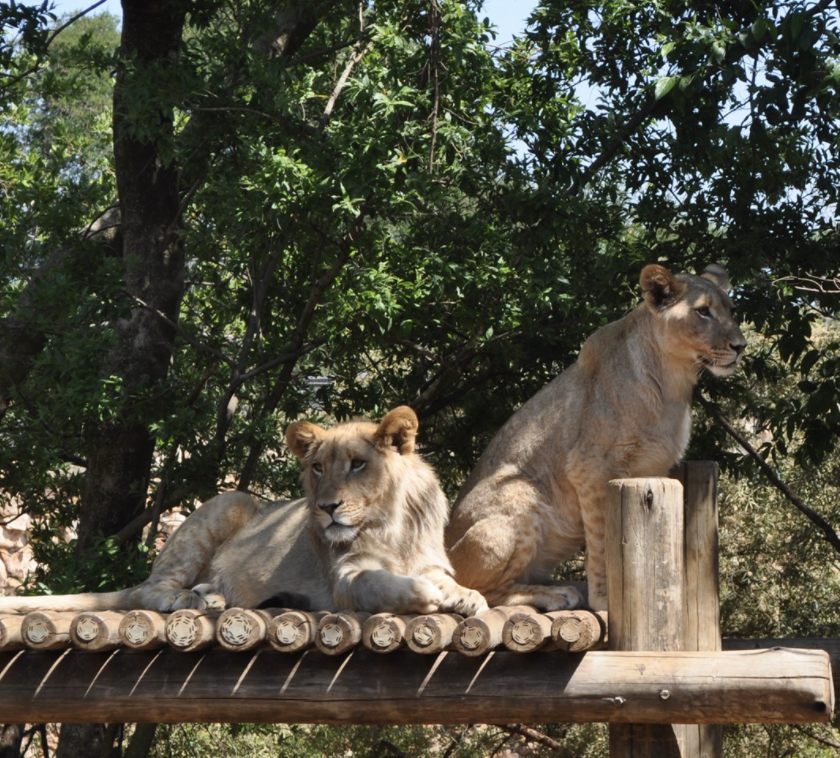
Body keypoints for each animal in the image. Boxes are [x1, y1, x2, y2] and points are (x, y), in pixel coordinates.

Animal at [0, 410, 488, 616]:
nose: (326, 508)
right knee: (148, 591)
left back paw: (210, 594)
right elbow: (379, 582)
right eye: (317, 468)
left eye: (357, 464)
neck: (391, 524)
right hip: (232, 501)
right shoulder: (346, 578)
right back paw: (190, 599)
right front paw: (424, 595)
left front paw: (468, 596)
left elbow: (453, 583)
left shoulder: (432, 561)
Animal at [446, 264, 748, 616]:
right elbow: (603, 541)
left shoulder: (654, 468)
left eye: (731, 310)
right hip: (520, 490)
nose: (741, 346)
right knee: (480, 590)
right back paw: (555, 594)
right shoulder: (590, 468)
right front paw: (604, 600)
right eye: (702, 311)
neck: (673, 381)